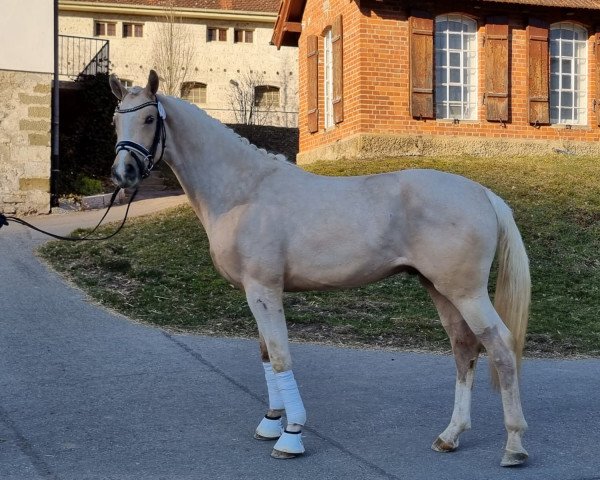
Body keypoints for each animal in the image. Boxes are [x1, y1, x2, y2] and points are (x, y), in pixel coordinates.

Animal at [108, 71, 528, 464]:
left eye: (149, 118)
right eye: (115, 119)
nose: (123, 174)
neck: (245, 191)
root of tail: (482, 194)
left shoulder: (264, 290)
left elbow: (280, 356)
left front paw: (291, 435)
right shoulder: (255, 293)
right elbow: (266, 354)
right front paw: (271, 421)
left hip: (466, 293)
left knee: (501, 346)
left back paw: (513, 446)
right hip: (439, 289)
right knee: (464, 348)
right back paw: (450, 435)